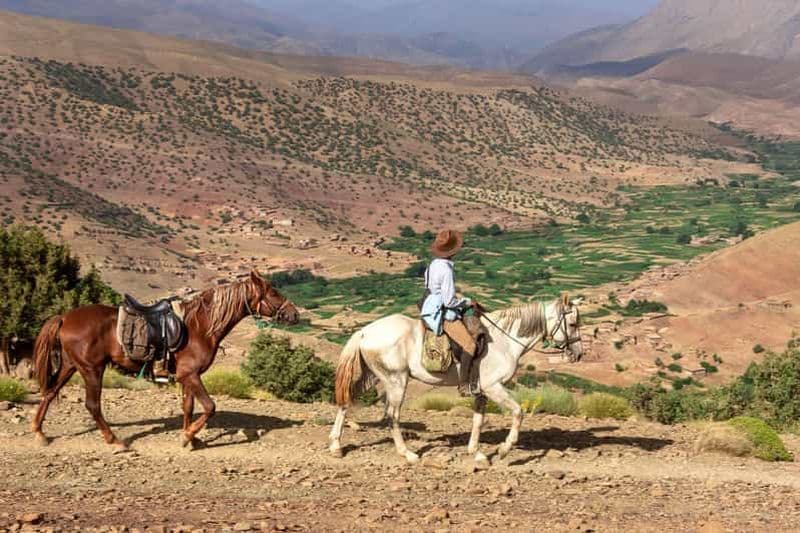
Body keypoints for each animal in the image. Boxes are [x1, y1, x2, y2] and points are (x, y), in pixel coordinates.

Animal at [31, 270, 299, 450]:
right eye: (273, 293)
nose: (294, 315)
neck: (200, 326)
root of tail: (65, 317)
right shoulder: (189, 375)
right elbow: (210, 407)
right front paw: (187, 436)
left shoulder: (188, 377)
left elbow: (188, 407)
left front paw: (191, 438)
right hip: (91, 369)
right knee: (92, 405)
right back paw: (115, 441)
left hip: (70, 366)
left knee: (50, 392)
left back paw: (39, 433)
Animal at [329, 295, 583, 464]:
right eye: (572, 324)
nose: (579, 354)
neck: (504, 340)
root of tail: (365, 331)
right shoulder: (494, 387)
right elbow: (518, 412)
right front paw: (504, 449)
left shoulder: (481, 391)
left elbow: (478, 421)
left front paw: (477, 453)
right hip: (396, 380)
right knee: (392, 416)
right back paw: (409, 454)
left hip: (370, 377)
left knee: (345, 404)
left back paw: (336, 446)